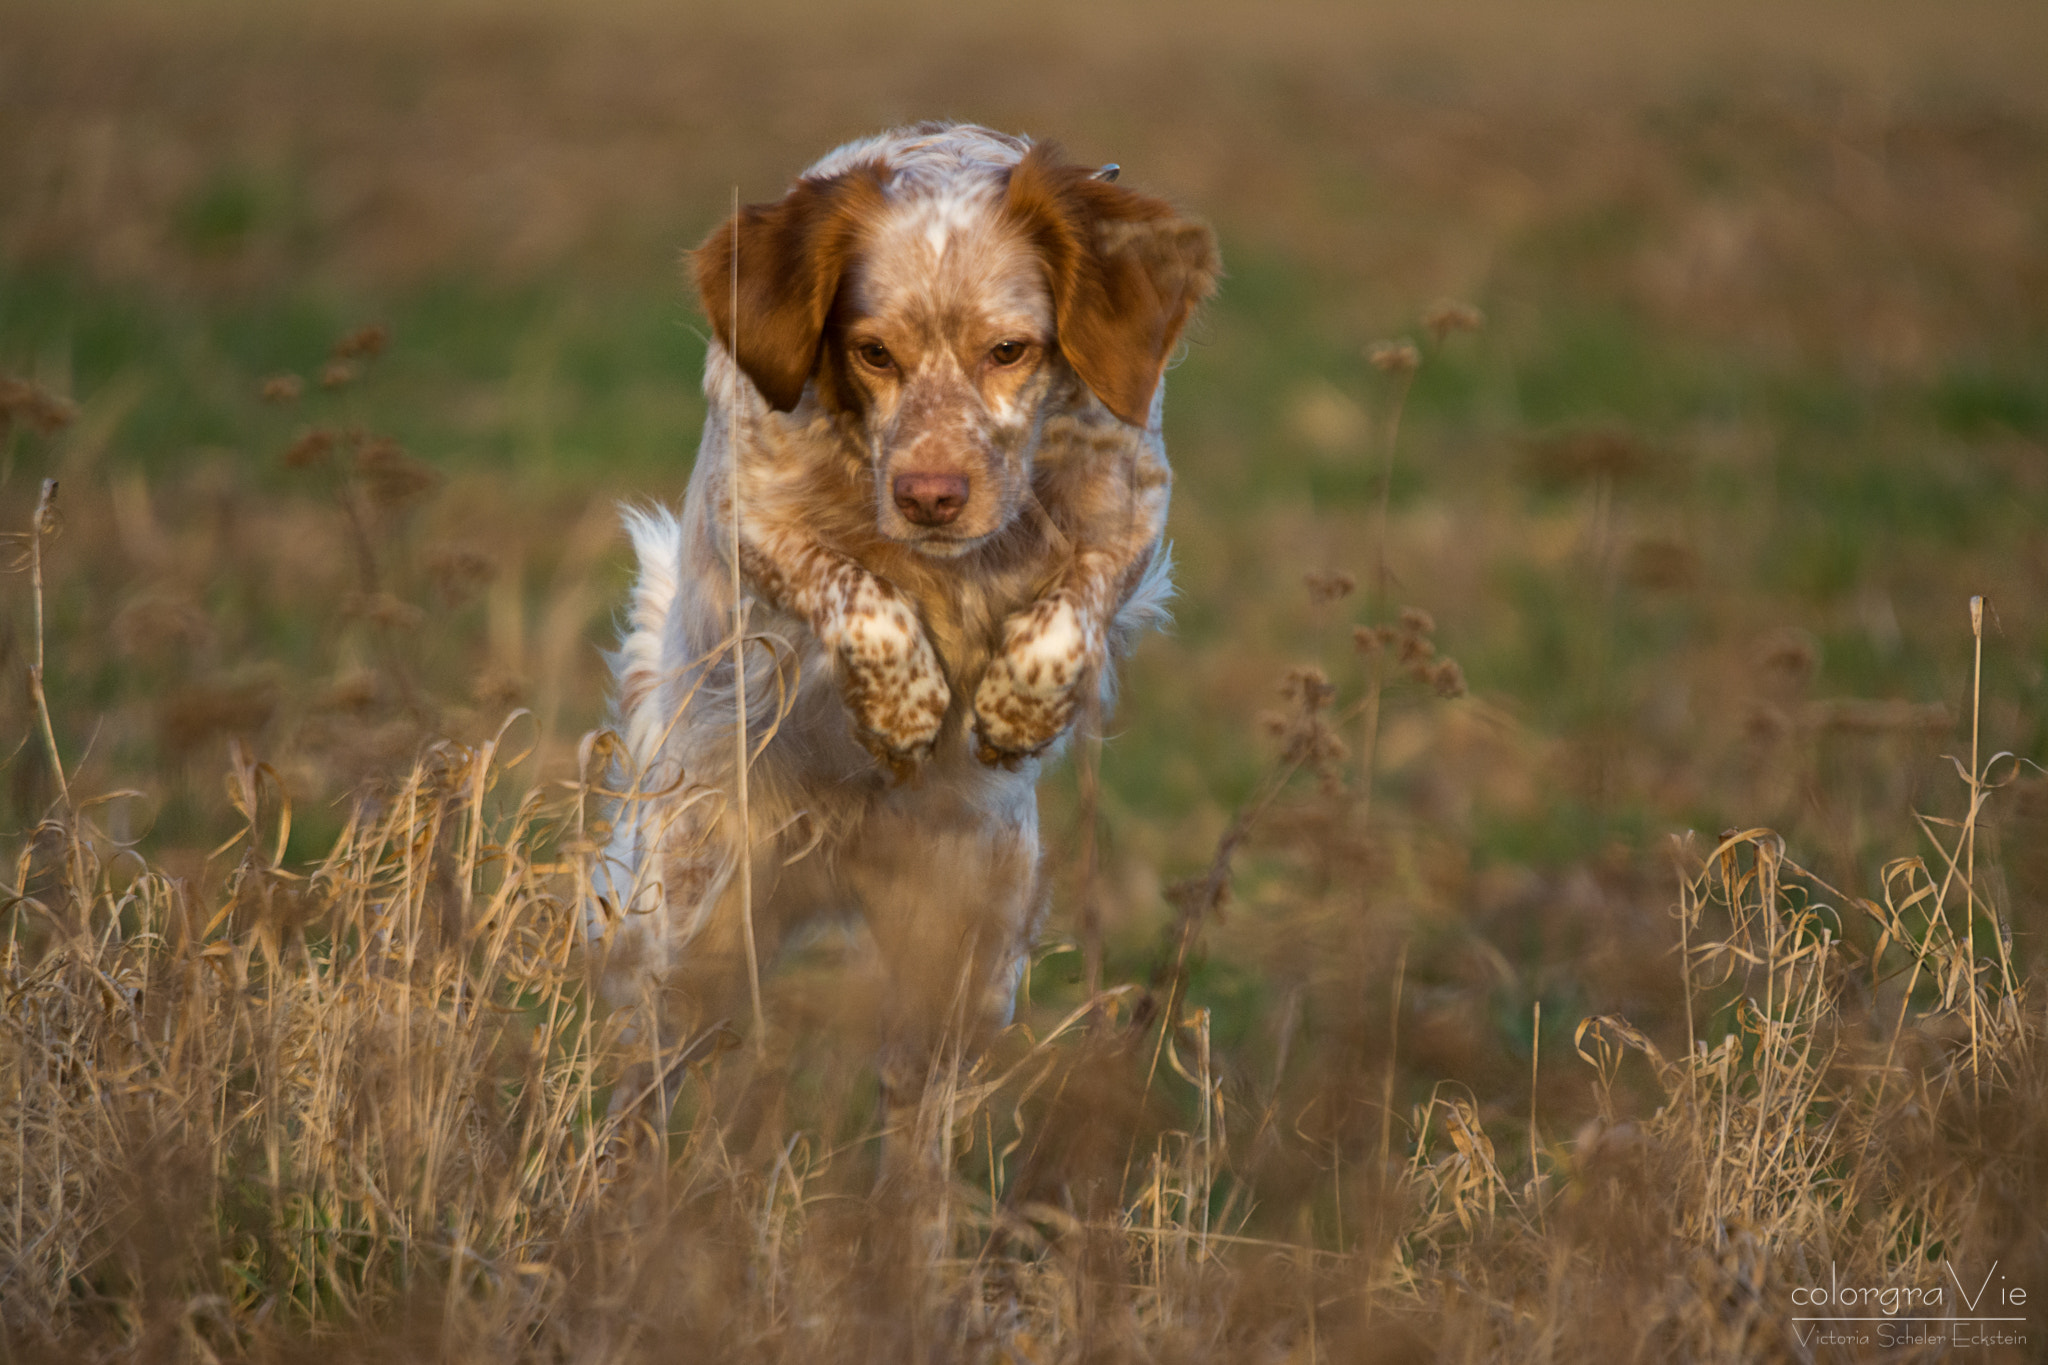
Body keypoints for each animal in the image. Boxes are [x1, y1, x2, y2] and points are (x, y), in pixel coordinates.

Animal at [585, 125, 1212, 1129]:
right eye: (872, 352)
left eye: (1010, 349)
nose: (930, 495)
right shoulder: (752, 510)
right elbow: (856, 590)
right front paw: (904, 709)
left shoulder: (1132, 507)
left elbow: (1066, 616)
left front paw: (1014, 712)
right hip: (695, 928)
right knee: (645, 1072)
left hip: (961, 963)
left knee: (913, 1117)